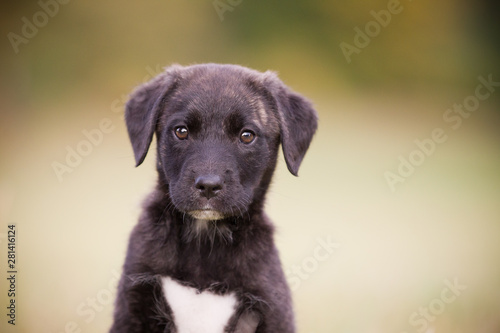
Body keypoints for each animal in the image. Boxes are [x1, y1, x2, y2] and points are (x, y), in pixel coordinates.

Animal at [111, 63, 318, 330]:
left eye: (247, 135)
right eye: (181, 131)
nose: (208, 186)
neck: (204, 240)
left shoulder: (273, 312)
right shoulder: (133, 303)